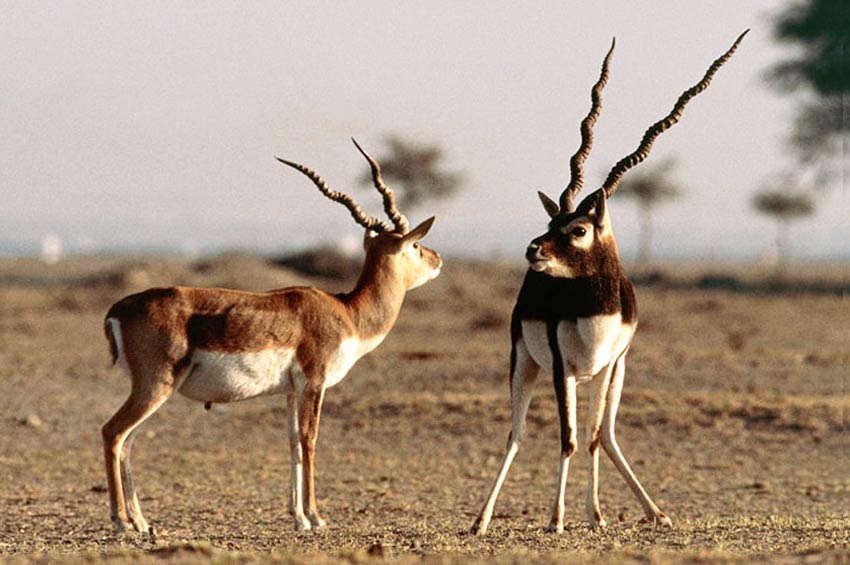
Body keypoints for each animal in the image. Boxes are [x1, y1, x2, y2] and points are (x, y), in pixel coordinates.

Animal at [102, 138, 440, 532]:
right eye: (414, 245)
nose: (438, 259)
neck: (348, 312)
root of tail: (119, 308)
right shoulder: (314, 382)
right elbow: (310, 439)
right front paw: (317, 517)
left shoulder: (291, 391)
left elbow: (293, 443)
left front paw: (299, 518)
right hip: (155, 386)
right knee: (113, 433)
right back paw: (121, 520)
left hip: (151, 390)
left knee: (127, 442)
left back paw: (141, 522)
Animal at [468, 30, 744, 532]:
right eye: (553, 221)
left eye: (577, 229)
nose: (533, 249)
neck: (596, 309)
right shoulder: (561, 366)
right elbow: (567, 438)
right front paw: (556, 520)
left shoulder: (611, 362)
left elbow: (594, 437)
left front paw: (595, 516)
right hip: (526, 362)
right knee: (516, 432)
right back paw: (481, 520)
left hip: (603, 375)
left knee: (608, 433)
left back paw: (652, 511)